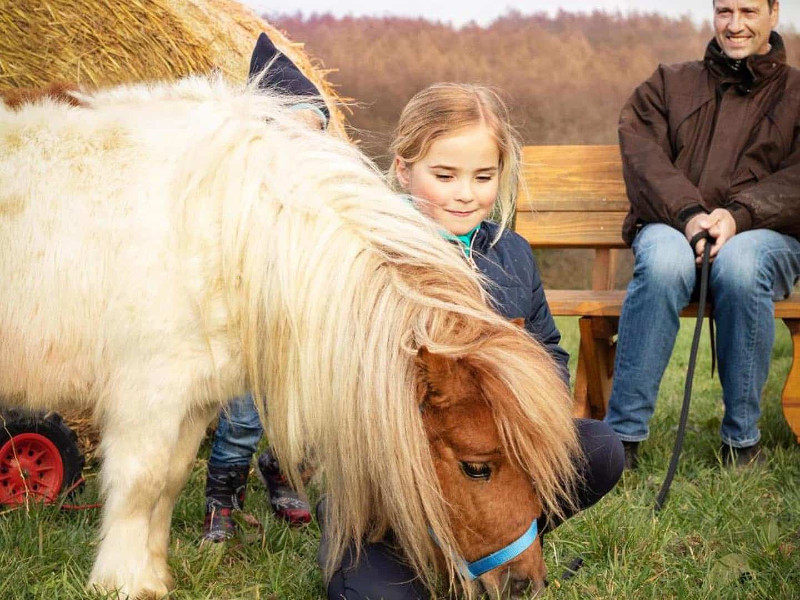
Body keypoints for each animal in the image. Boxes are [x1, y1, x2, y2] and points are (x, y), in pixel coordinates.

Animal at [0, 77, 576, 596]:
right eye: (477, 468)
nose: (526, 583)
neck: (228, 232)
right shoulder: (147, 397)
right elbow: (140, 485)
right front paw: (123, 584)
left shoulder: (191, 399)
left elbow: (168, 484)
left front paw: (153, 575)